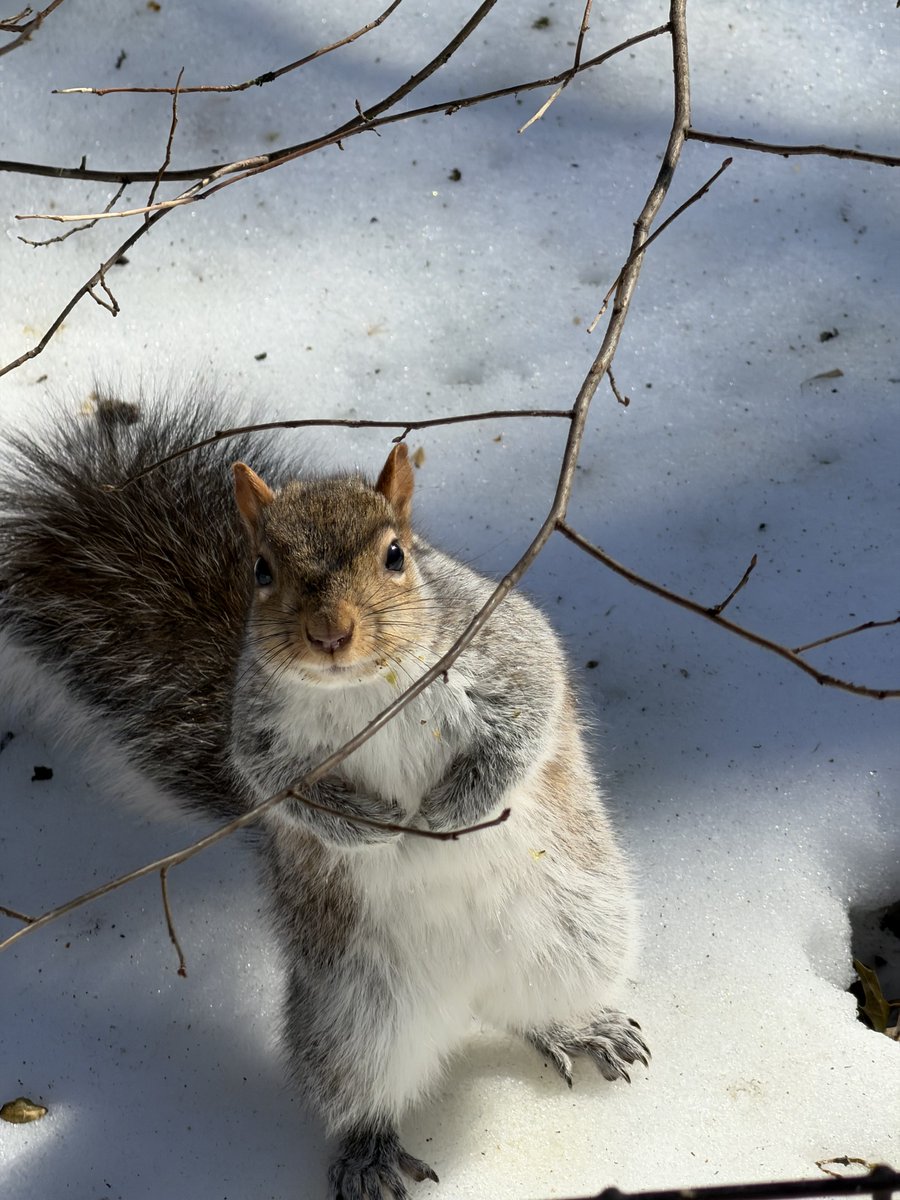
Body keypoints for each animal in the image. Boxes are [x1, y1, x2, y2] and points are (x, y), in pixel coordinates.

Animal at [0, 391, 649, 1200]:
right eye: (261, 569)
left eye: (397, 554)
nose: (329, 631)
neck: (361, 685)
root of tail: (465, 994)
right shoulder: (261, 738)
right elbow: (280, 792)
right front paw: (374, 829)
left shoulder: (504, 647)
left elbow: (526, 715)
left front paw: (449, 809)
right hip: (352, 1017)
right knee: (362, 1091)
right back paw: (369, 1153)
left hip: (579, 934)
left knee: (531, 1009)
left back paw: (577, 1026)